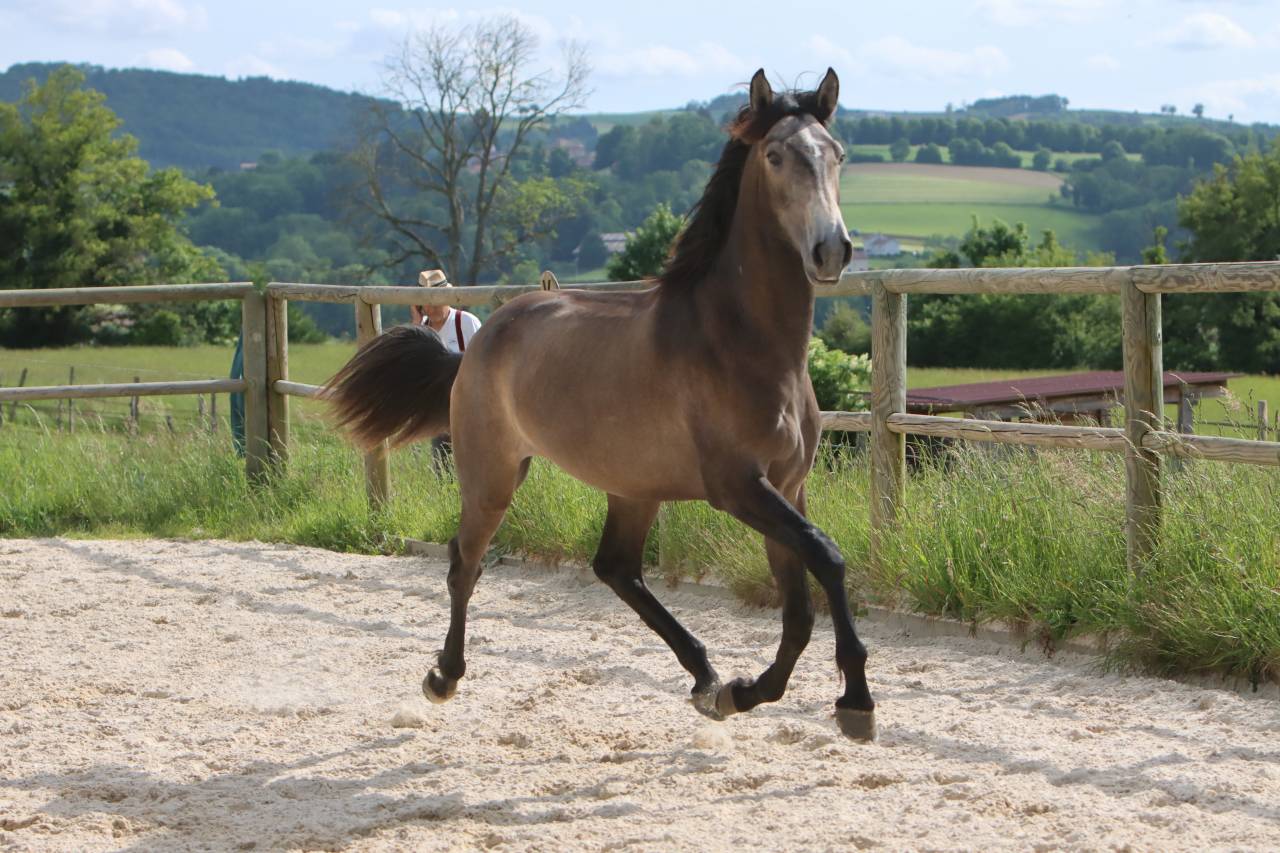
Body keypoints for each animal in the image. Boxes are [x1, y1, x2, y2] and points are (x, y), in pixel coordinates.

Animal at [325, 68, 877, 741]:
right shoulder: (738, 487)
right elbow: (827, 556)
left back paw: (705, 678)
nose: (832, 250)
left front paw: (744, 693)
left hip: (632, 487)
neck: (739, 342)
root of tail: (481, 339)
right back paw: (443, 677)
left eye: (837, 154)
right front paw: (855, 701)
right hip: (492, 472)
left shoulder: (788, 486)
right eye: (775, 155)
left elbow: (800, 608)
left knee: (616, 568)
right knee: (465, 562)